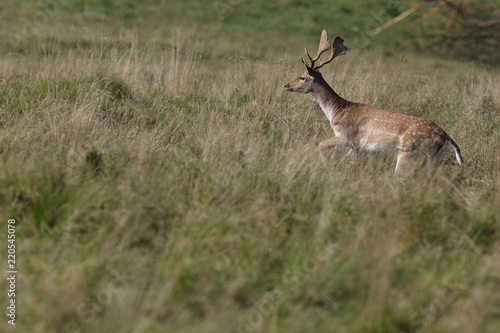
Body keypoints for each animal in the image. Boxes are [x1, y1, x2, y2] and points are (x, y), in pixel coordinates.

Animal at [284, 29, 462, 174]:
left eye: (302, 77)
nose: (286, 85)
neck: (336, 111)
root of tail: (445, 136)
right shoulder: (358, 146)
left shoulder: (347, 136)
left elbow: (321, 144)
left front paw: (326, 168)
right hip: (433, 158)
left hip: (410, 152)